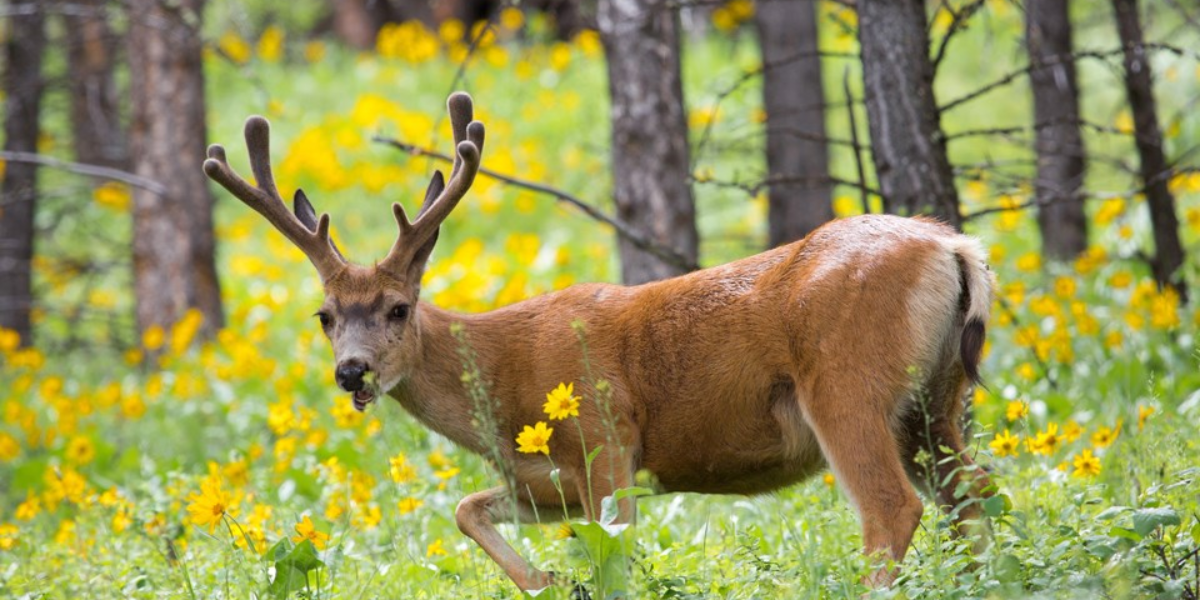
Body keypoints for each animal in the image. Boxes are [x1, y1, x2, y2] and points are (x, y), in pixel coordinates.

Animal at [201, 91, 998, 592]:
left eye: (398, 308)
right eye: (324, 315)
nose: (353, 372)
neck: (503, 382)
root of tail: (956, 247)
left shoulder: (608, 440)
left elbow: (615, 562)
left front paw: (568, 578)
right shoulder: (545, 480)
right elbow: (465, 509)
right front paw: (549, 579)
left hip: (846, 384)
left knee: (893, 510)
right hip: (935, 399)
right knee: (975, 498)